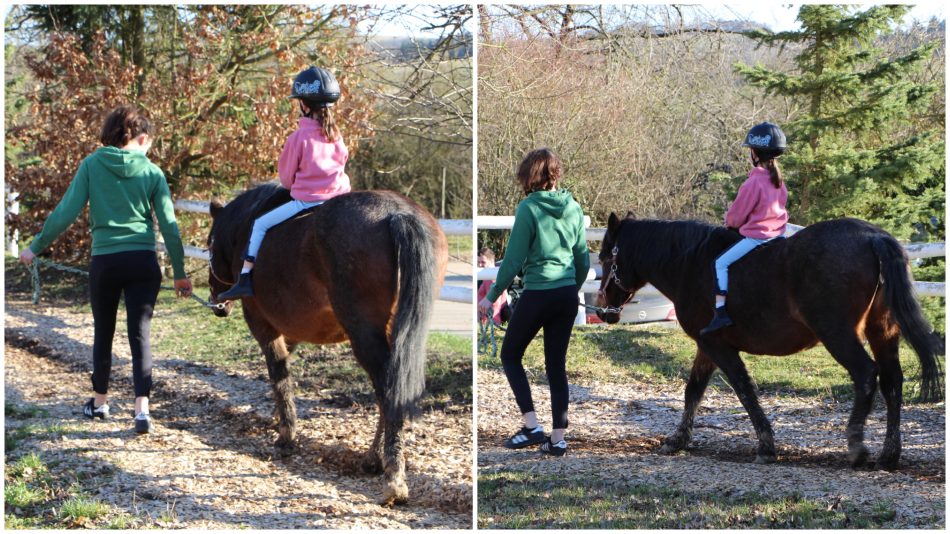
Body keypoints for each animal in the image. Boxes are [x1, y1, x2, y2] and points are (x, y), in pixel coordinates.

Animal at [205, 184, 450, 506]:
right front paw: (279, 418)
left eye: (208, 245)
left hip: (363, 334)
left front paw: (286, 436)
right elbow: (284, 371)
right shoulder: (291, 329)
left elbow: (278, 374)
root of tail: (397, 213)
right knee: (390, 389)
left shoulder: (262, 324)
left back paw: (392, 476)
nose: (217, 303)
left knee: (387, 390)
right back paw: (377, 460)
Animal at [600, 214, 940, 474]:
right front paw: (677, 439)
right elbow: (693, 391)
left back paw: (856, 446)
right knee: (892, 382)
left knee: (866, 374)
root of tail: (872, 237)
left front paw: (766, 445)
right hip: (882, 332)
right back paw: (889, 455)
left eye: (605, 258)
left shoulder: (718, 347)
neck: (691, 263)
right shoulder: (706, 346)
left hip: (838, 334)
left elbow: (744, 390)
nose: (604, 310)